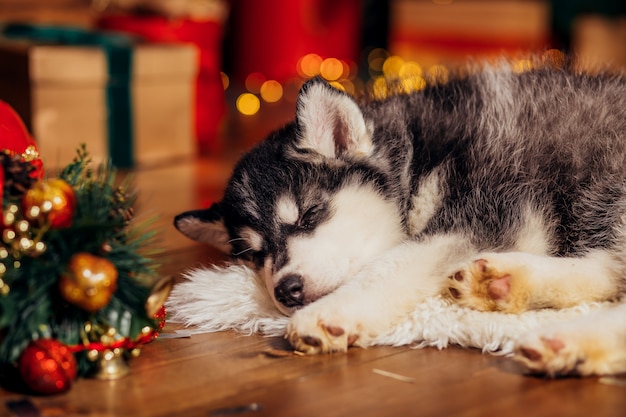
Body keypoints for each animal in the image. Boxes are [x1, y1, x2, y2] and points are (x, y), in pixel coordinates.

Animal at [173, 61, 624, 376]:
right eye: (253, 255)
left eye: (309, 214)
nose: (286, 290)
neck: (415, 157)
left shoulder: (492, 209)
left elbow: (393, 264)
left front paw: (333, 313)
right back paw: (509, 283)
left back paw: (568, 339)